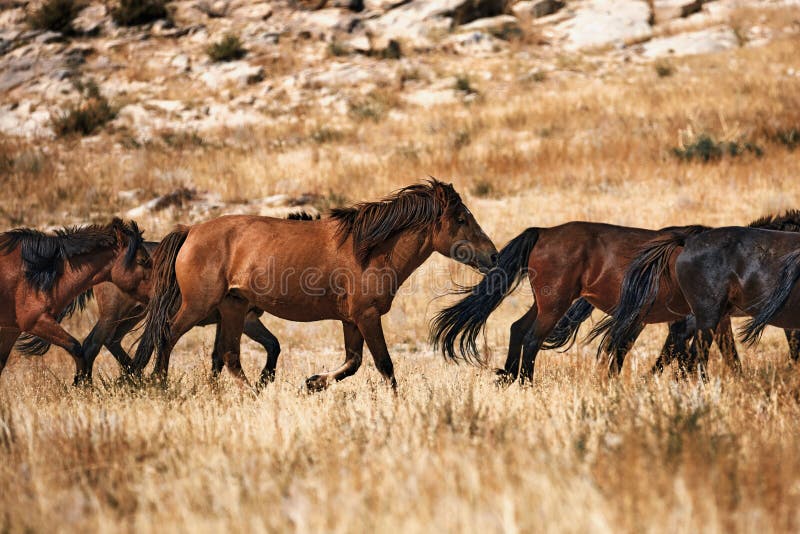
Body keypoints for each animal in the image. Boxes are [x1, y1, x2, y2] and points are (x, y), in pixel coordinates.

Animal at [132, 181, 496, 390]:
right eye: (461, 218)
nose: (492, 255)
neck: (370, 250)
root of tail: (190, 230)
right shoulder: (366, 317)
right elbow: (384, 365)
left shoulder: (351, 320)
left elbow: (352, 363)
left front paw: (313, 383)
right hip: (199, 304)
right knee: (168, 334)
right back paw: (159, 384)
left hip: (233, 307)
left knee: (230, 356)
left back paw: (253, 393)